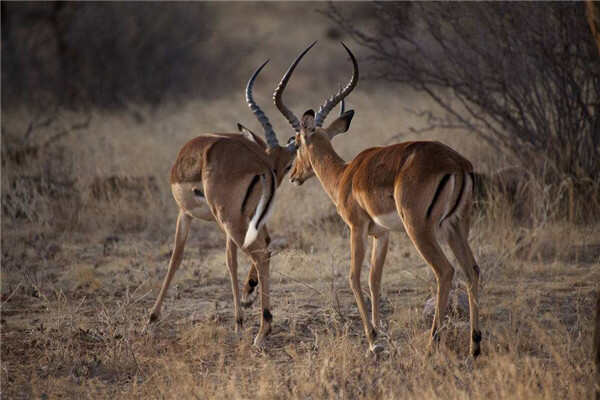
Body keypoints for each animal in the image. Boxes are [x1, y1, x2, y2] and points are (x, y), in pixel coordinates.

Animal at [147, 58, 300, 346]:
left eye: (288, 165)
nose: (277, 175)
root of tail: (257, 163)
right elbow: (232, 259)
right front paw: (240, 317)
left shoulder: (184, 213)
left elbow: (176, 257)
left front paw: (151, 318)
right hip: (242, 218)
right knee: (263, 246)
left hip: (227, 218)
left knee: (261, 253)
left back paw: (263, 329)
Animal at [282, 43, 482, 356]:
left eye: (297, 141)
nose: (293, 175)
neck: (345, 175)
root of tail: (457, 164)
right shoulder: (382, 234)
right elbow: (374, 279)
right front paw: (379, 334)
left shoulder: (356, 228)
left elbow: (353, 277)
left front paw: (373, 340)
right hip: (457, 226)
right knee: (472, 270)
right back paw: (474, 346)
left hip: (419, 228)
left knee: (445, 271)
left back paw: (432, 343)